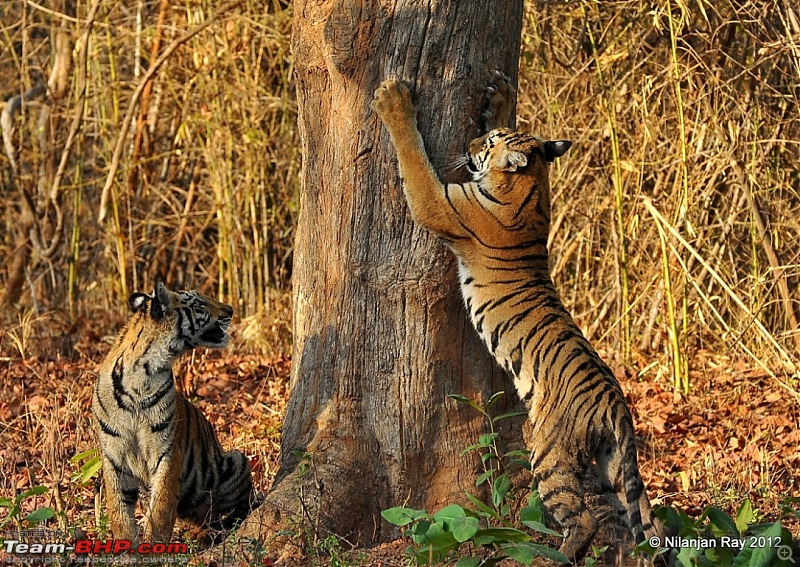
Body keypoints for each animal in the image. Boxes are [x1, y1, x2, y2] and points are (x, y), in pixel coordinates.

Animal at [93, 282, 256, 544]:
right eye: (199, 304)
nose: (230, 310)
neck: (143, 374)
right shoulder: (115, 455)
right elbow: (118, 510)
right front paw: (126, 546)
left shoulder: (166, 451)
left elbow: (161, 508)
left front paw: (154, 546)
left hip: (236, 460)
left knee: (233, 512)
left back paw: (207, 533)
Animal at [372, 75, 664, 564]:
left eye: (487, 144)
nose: (469, 143)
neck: (534, 185)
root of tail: (618, 408)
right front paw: (502, 94)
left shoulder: (439, 202)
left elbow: (412, 156)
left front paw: (392, 99)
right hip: (612, 469)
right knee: (633, 530)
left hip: (548, 450)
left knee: (583, 520)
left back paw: (553, 554)